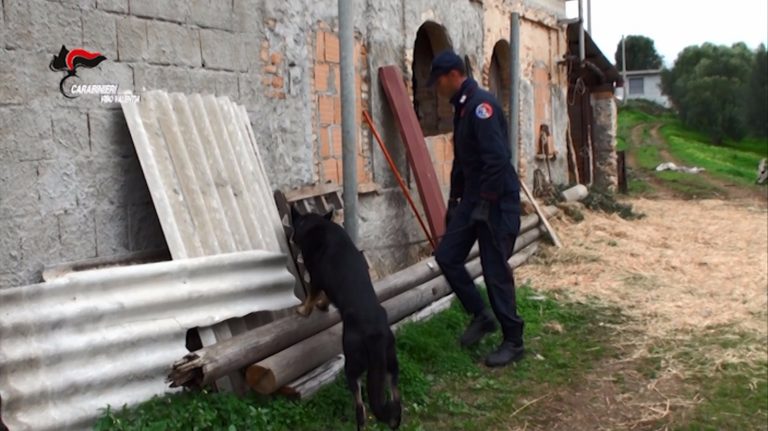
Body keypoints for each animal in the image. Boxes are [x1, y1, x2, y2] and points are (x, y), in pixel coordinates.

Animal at [292, 208, 402, 430]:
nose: (290, 237)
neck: (317, 224)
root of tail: (375, 335)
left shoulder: (315, 278)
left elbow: (311, 297)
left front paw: (304, 310)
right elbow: (324, 297)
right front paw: (323, 306)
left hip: (352, 365)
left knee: (361, 407)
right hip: (390, 361)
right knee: (395, 395)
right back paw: (394, 418)